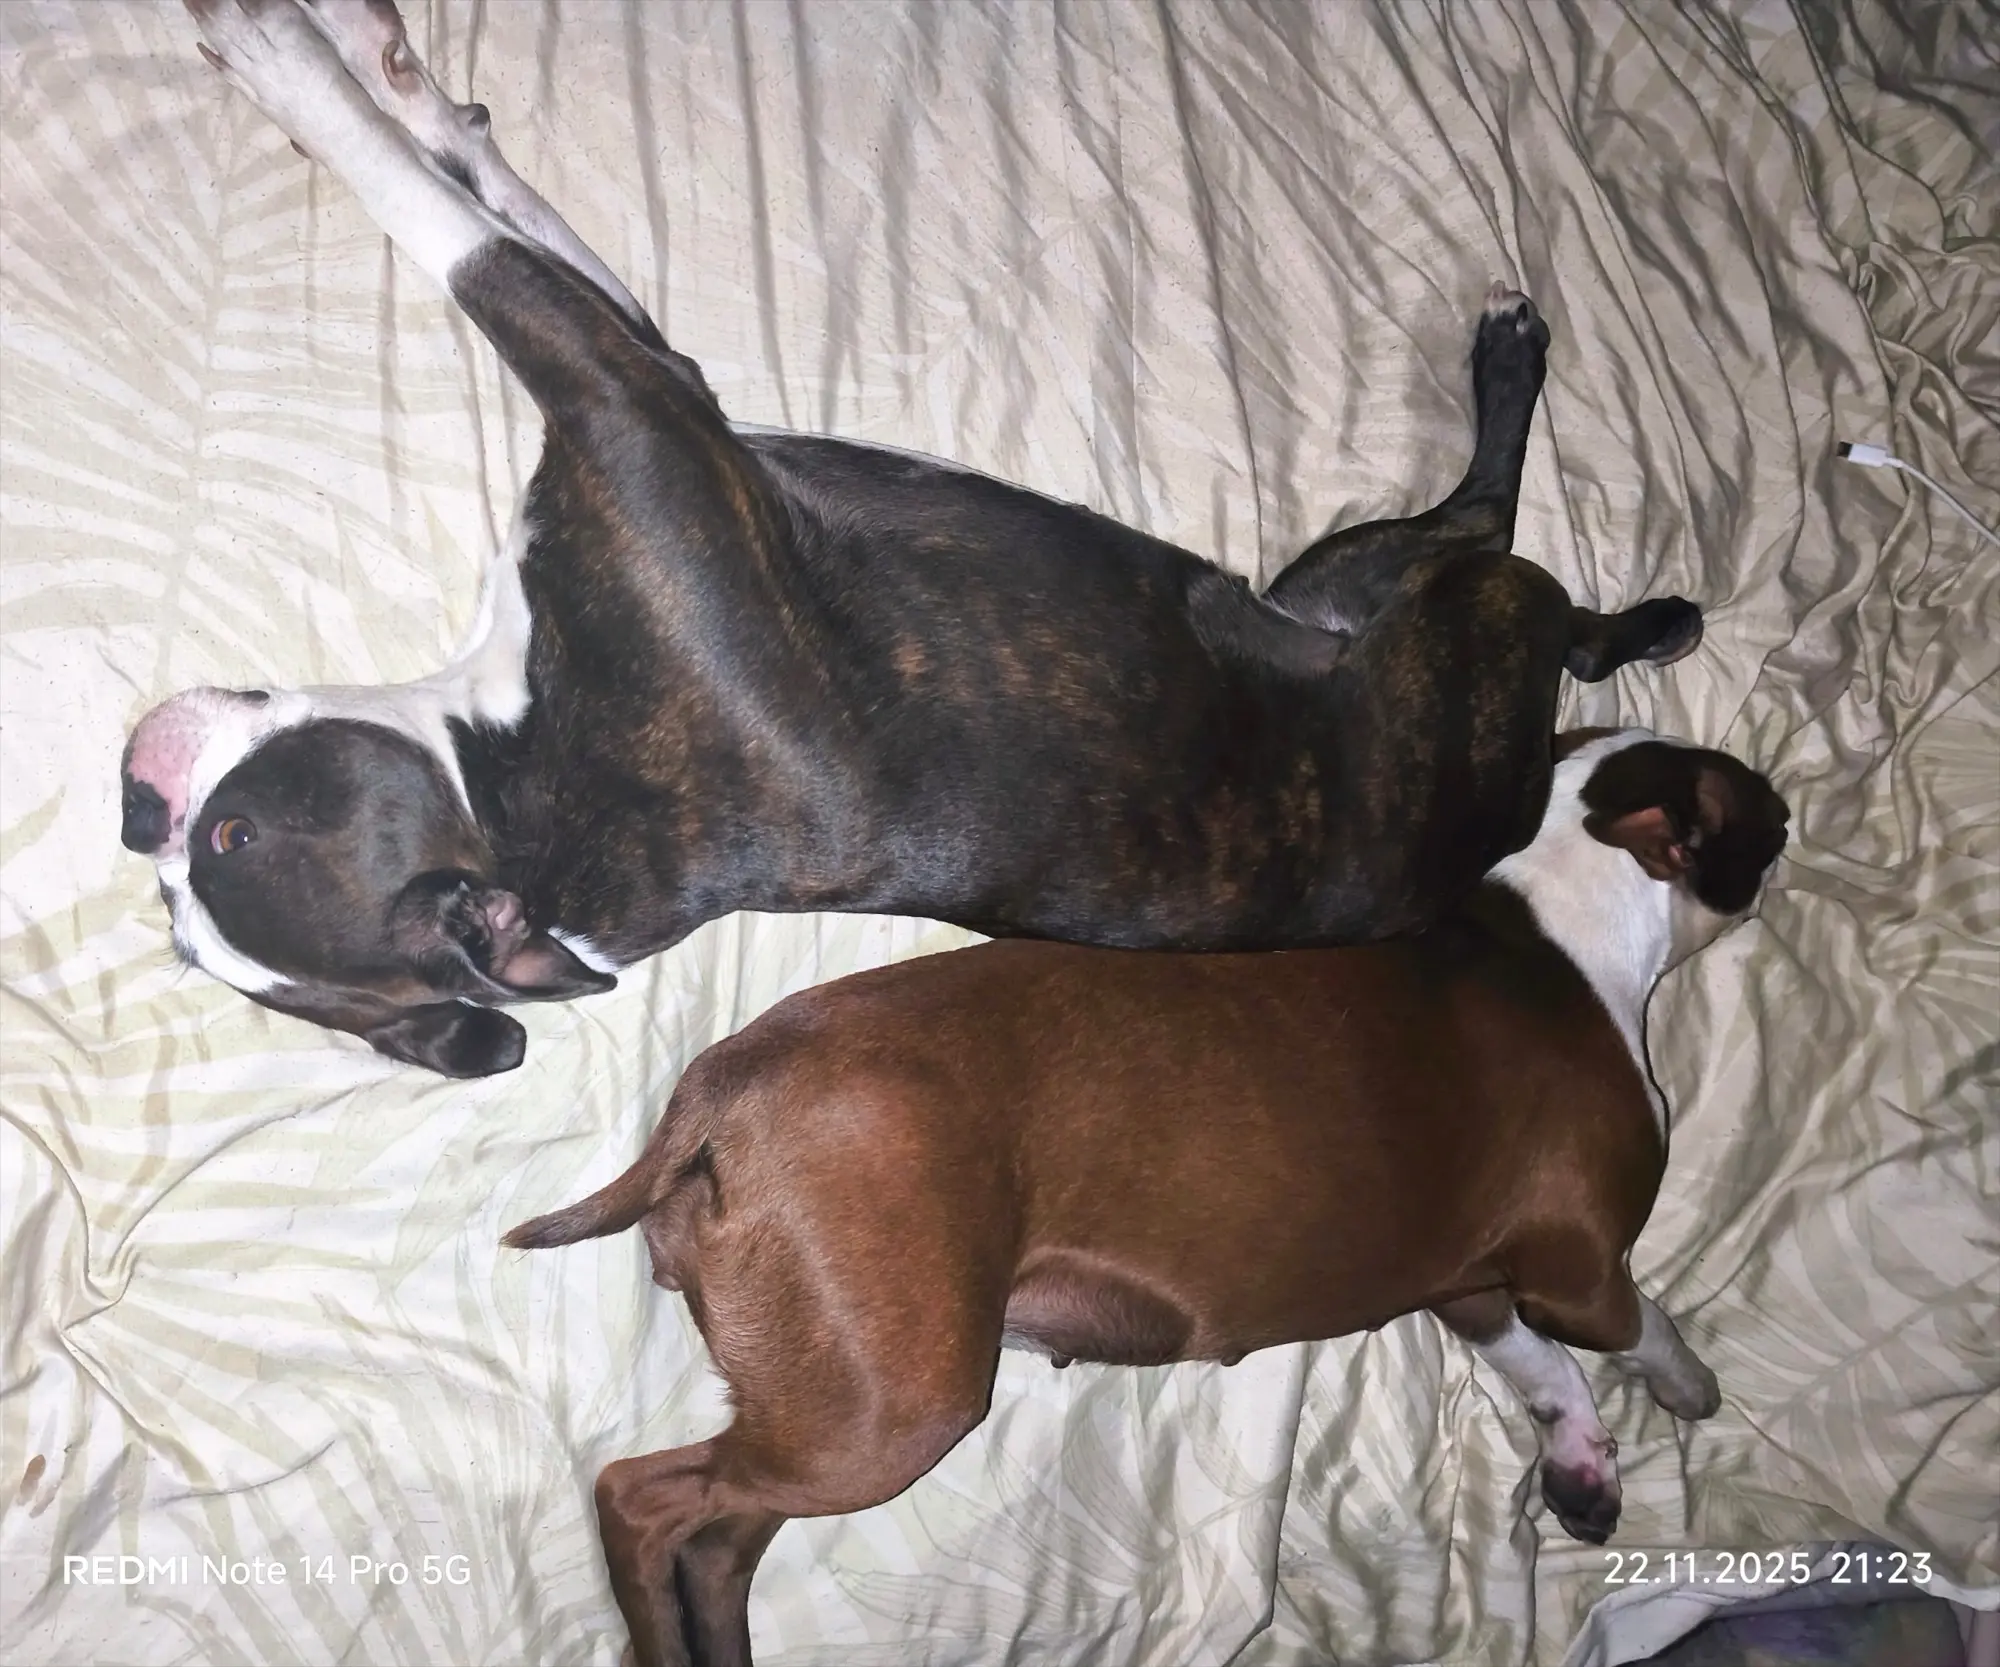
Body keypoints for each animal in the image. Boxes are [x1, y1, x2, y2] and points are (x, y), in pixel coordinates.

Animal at [126, 0, 1703, 1076]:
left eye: (231, 832)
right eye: (183, 885)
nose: (140, 807)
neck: (511, 781)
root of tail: (1505, 803)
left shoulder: (636, 376)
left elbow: (470, 219)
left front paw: (335, 70)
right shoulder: (633, 390)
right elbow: (470, 236)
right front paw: (317, 66)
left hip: (1351, 583)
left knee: (1500, 538)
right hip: (1408, 601)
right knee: (1500, 541)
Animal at [503, 729, 1790, 1667]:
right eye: (1743, 802)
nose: (1785, 805)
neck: (1555, 921)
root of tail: (722, 1084)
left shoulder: (1469, 1287)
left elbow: (1542, 1370)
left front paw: (1579, 1458)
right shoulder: (1577, 1268)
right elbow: (1635, 1328)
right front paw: (1687, 1384)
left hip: (822, 1395)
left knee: (717, 1540)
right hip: (891, 1409)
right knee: (642, 1498)